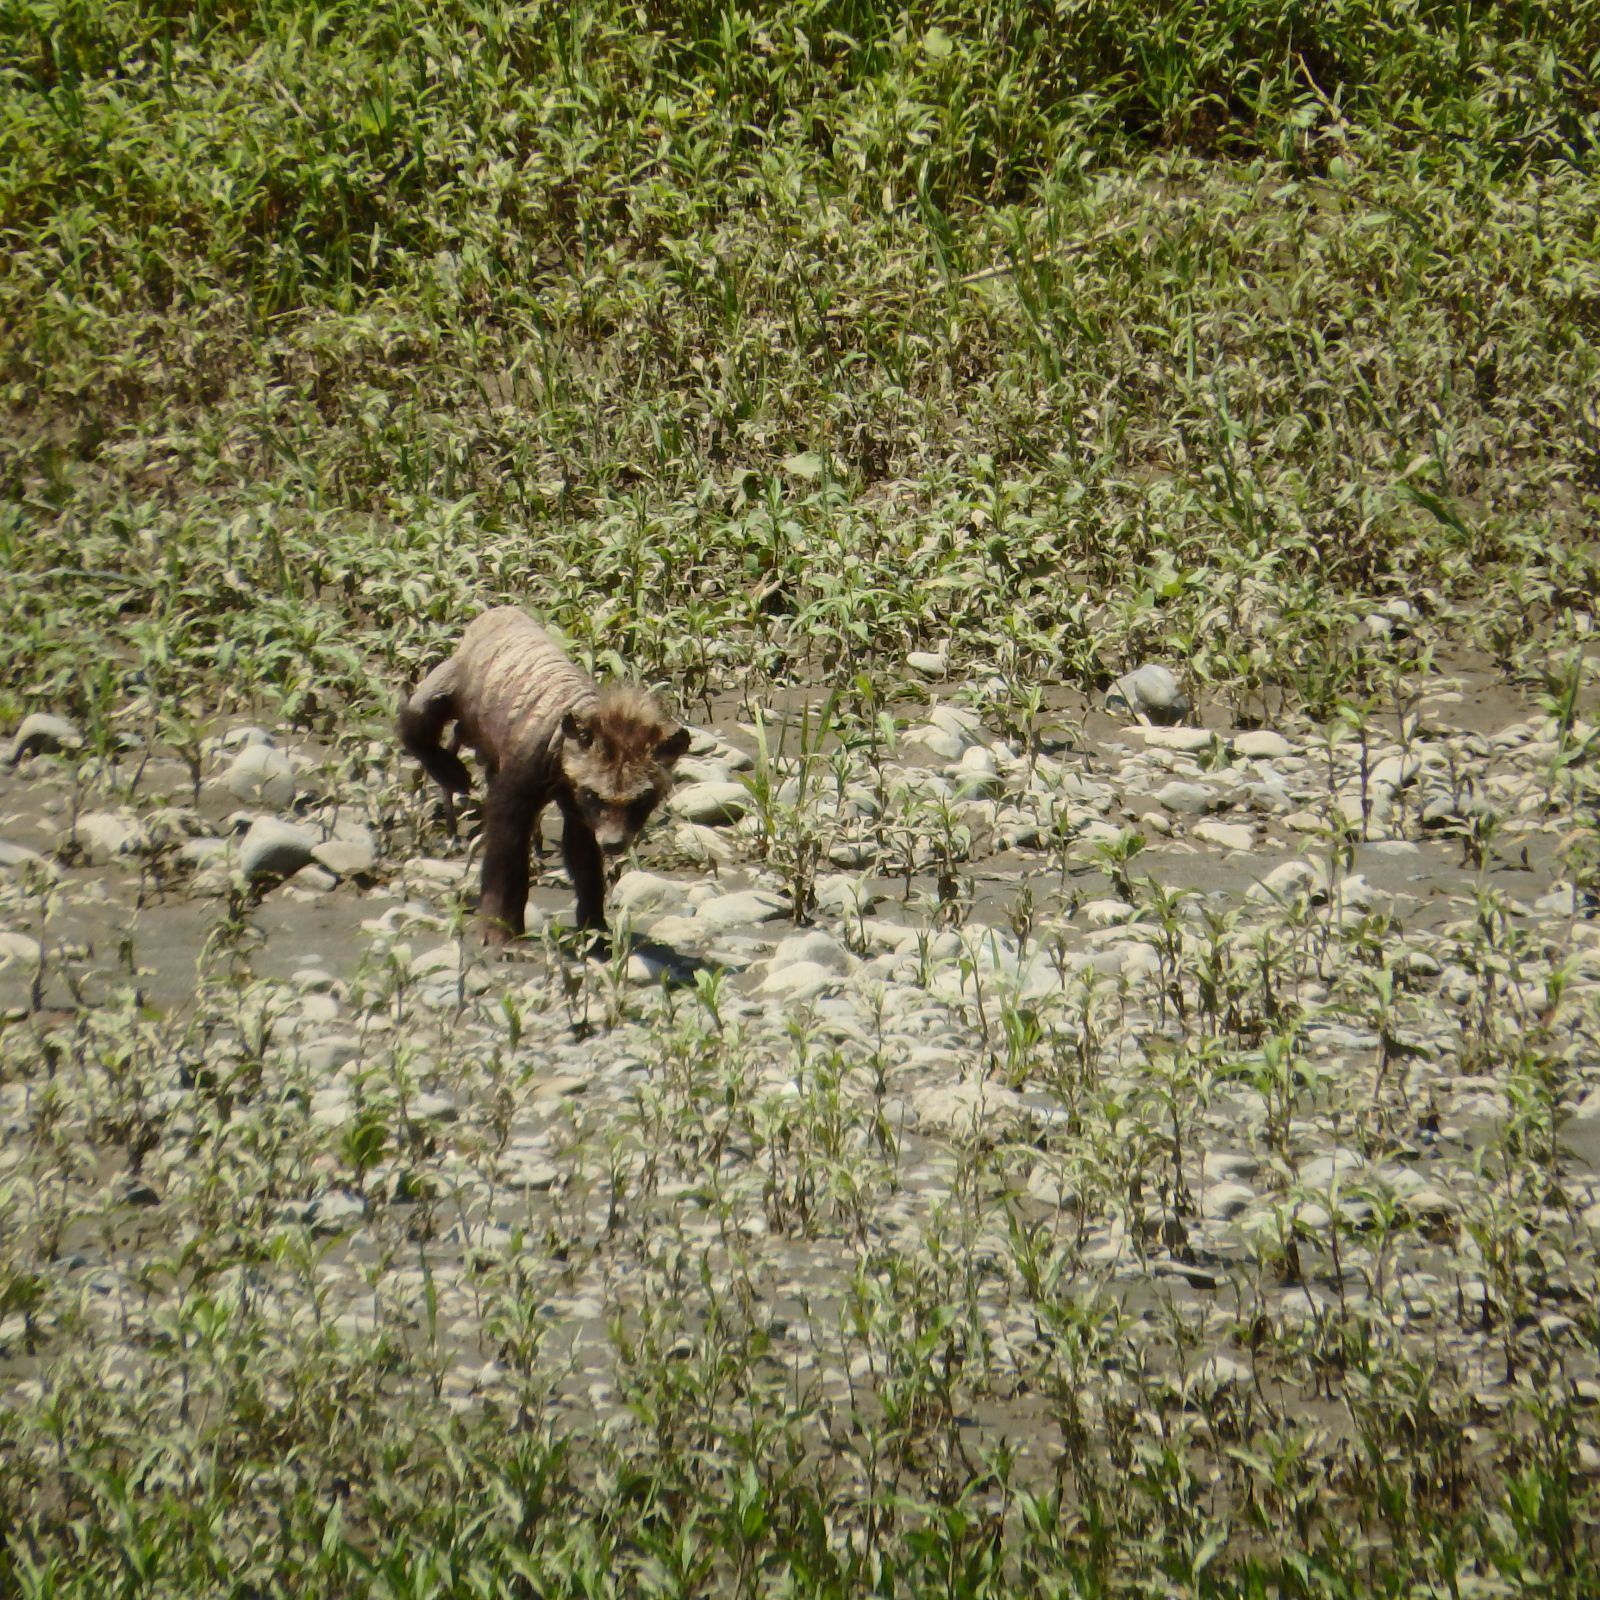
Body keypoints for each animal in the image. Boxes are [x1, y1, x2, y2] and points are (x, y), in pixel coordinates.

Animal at [400, 608, 688, 934]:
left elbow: (584, 861)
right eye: (594, 795)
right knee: (414, 719)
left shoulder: (578, 811)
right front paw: (499, 930)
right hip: (448, 682)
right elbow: (505, 859)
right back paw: (448, 770)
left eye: (642, 800)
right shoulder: (518, 789)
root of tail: (499, 611)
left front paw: (595, 928)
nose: (614, 843)